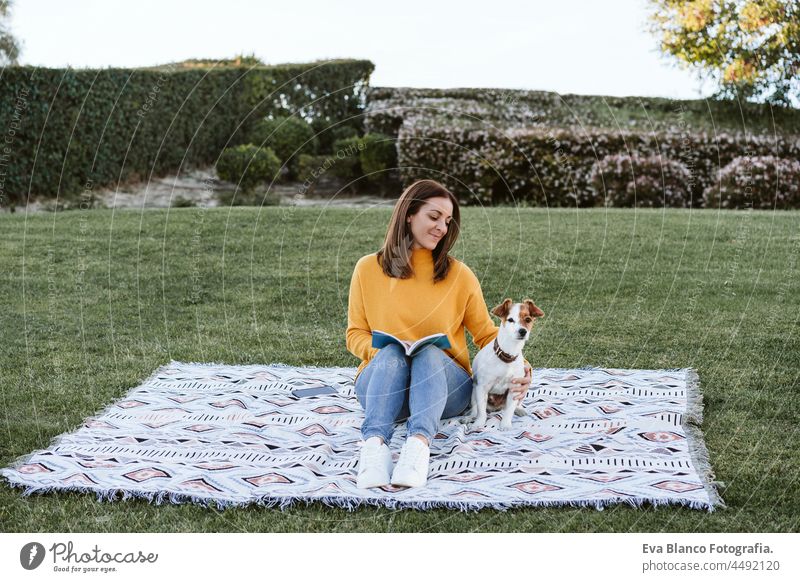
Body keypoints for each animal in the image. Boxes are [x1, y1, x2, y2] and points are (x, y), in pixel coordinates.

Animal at [462, 298, 544, 432]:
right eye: (510, 320)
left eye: (528, 320)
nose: (523, 331)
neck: (508, 356)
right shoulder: (482, 387)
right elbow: (481, 412)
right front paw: (478, 424)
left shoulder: (515, 389)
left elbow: (509, 411)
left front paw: (505, 425)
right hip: (473, 391)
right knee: (475, 409)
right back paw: (469, 418)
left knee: (514, 405)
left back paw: (519, 409)